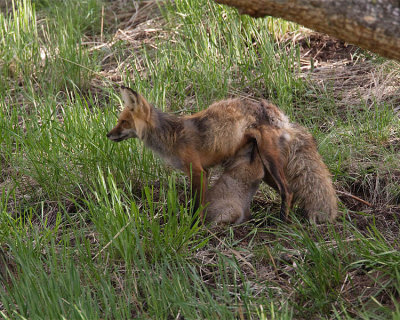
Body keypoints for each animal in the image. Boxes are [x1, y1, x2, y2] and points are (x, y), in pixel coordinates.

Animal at [108, 85, 292, 220]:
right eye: (119, 121)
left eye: (123, 122)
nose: (107, 135)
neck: (171, 137)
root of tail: (268, 107)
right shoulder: (204, 172)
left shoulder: (197, 171)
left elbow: (198, 205)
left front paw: (196, 227)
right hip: (266, 168)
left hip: (270, 160)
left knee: (287, 191)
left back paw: (283, 221)